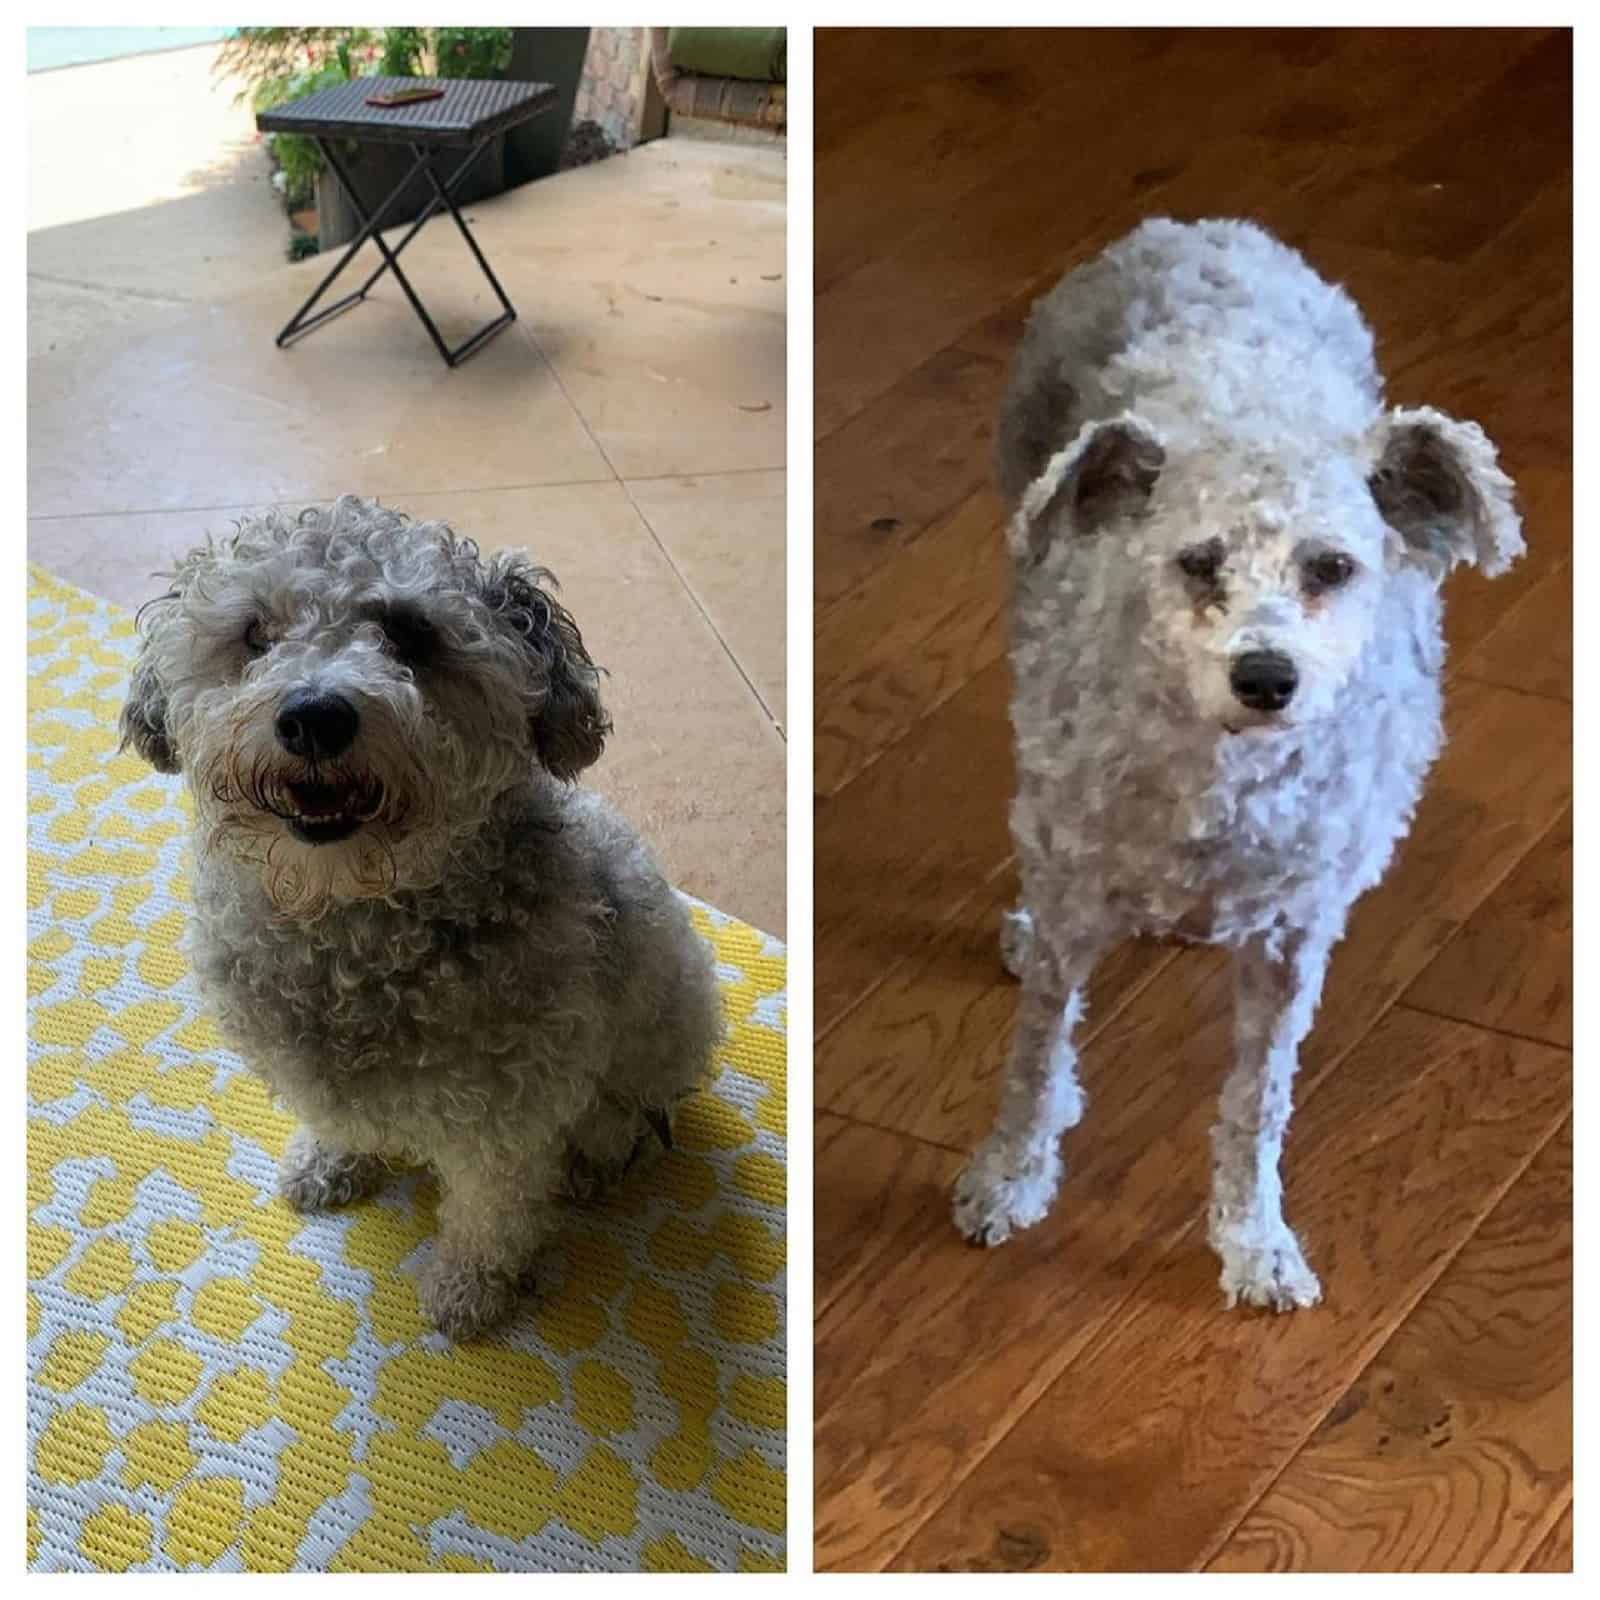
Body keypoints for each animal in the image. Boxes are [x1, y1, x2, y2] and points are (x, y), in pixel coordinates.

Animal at [121, 496, 723, 1337]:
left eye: (411, 634)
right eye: (255, 634)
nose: (314, 716)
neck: (353, 927)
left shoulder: (505, 1122)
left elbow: (491, 1214)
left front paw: (469, 1291)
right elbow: (338, 1122)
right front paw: (331, 1163)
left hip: (666, 1019)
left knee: (629, 1108)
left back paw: (596, 1155)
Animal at [947, 216, 1523, 1312]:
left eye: (1332, 567)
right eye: (1196, 562)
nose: (1265, 675)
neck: (1223, 786)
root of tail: (1198, 229)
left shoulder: (1294, 942)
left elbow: (1257, 1102)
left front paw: (1254, 1241)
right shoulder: (1076, 896)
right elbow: (1037, 1055)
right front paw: (1008, 1177)